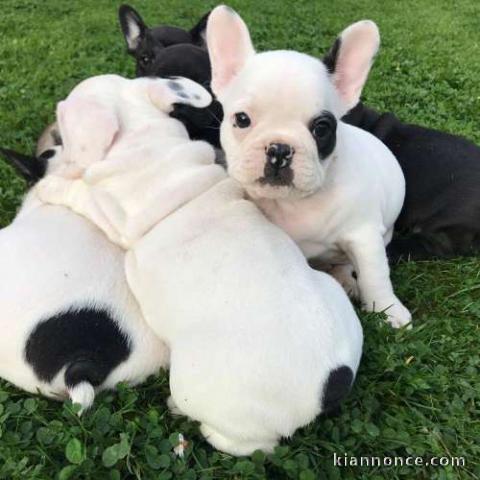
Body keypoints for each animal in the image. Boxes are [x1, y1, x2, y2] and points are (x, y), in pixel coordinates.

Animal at [37, 74, 362, 454]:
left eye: (62, 121)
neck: (146, 142)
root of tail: (327, 387)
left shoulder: (109, 212)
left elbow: (77, 195)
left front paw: (50, 186)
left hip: (199, 389)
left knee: (249, 444)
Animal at [207, 6, 412, 330]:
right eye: (241, 119)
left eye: (322, 128)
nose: (279, 149)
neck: (294, 203)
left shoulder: (365, 235)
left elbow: (375, 275)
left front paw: (389, 309)